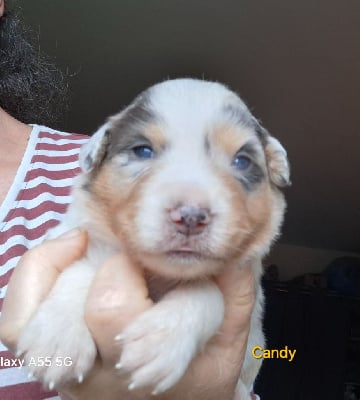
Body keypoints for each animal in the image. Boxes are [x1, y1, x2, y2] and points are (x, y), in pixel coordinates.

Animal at [17, 77, 290, 396]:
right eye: (143, 151)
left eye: (242, 161)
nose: (190, 217)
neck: (159, 273)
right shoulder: (75, 231)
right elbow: (84, 266)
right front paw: (57, 337)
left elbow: (209, 292)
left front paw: (159, 341)